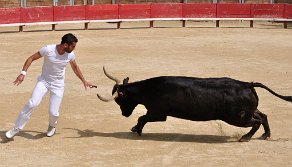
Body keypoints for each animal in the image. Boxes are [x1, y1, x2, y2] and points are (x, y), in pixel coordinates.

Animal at [96, 67, 292, 142]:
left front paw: (136, 130)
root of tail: (247, 84)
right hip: (246, 112)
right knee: (263, 116)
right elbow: (142, 118)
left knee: (256, 121)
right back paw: (266, 135)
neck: (149, 89)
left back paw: (245, 137)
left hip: (238, 118)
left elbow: (142, 118)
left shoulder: (158, 113)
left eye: (120, 100)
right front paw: (134, 128)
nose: (124, 114)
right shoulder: (156, 113)